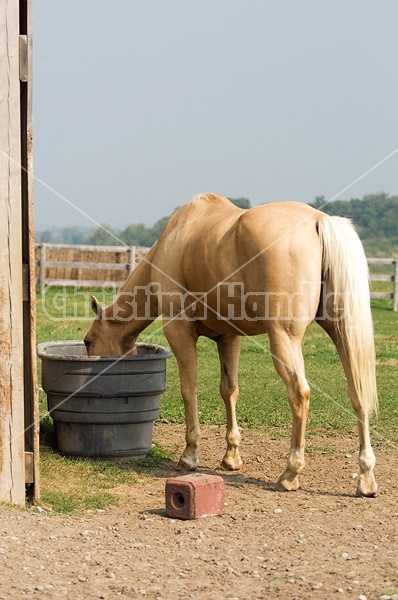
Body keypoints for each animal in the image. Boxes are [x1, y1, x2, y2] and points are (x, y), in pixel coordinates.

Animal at [84, 193, 380, 496]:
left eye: (88, 341)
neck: (175, 238)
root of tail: (319, 221)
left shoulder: (179, 332)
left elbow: (189, 390)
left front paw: (189, 455)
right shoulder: (228, 338)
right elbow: (229, 390)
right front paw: (231, 457)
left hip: (284, 338)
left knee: (299, 394)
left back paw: (290, 473)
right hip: (342, 333)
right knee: (358, 393)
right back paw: (366, 477)